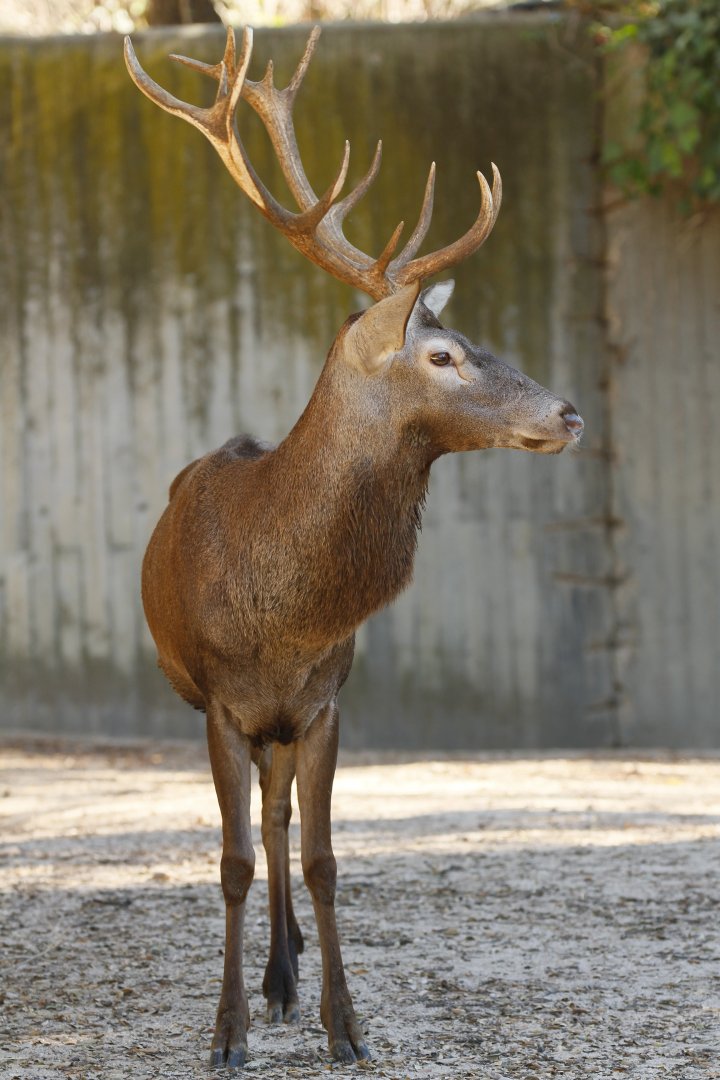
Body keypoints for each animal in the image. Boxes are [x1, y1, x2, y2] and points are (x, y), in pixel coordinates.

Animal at [124, 25, 584, 1070]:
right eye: (443, 354)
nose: (570, 413)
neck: (283, 612)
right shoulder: (220, 702)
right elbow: (230, 861)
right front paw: (224, 1034)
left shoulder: (325, 699)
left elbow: (326, 859)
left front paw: (345, 1023)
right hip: (234, 714)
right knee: (260, 823)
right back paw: (268, 983)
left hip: (287, 726)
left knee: (282, 815)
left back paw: (286, 975)